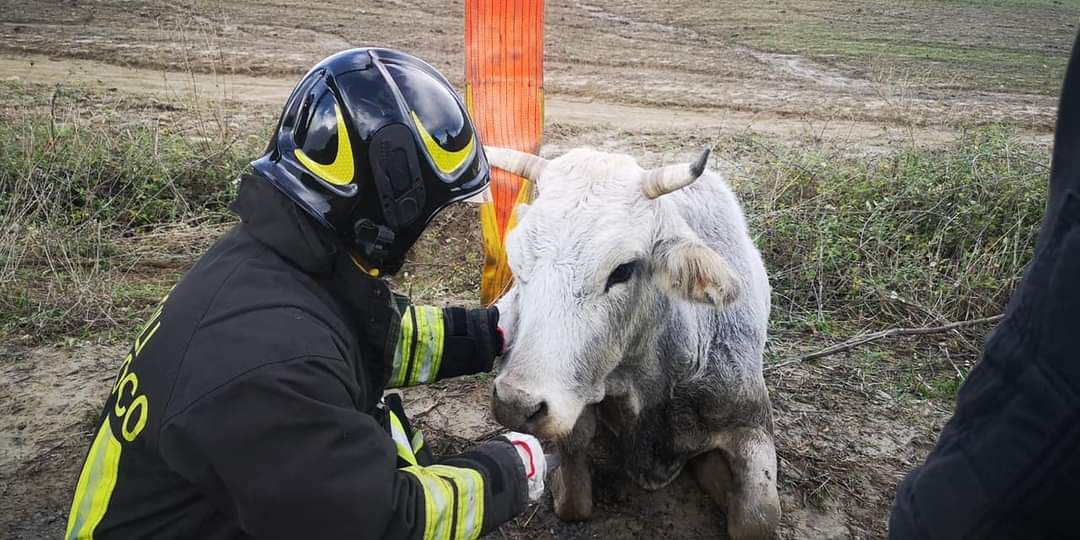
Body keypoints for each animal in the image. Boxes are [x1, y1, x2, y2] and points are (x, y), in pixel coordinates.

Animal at [484, 146, 780, 539]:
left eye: (622, 270)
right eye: (518, 261)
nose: (517, 403)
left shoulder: (751, 421)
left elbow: (758, 519)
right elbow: (574, 498)